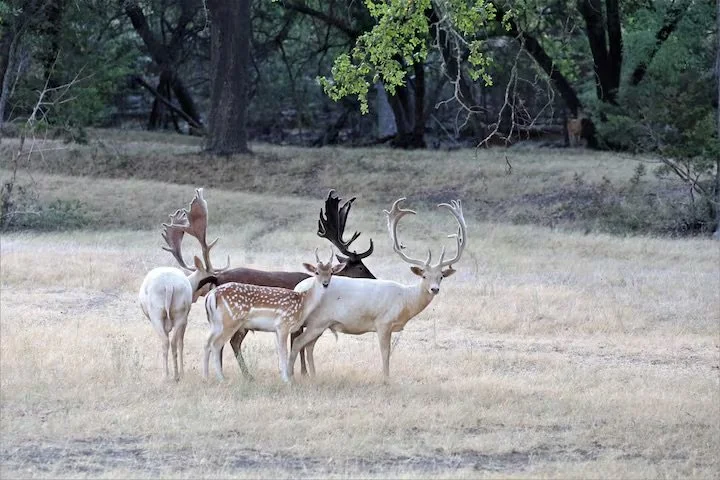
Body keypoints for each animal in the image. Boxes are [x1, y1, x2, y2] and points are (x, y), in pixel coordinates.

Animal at [139, 188, 229, 381]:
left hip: (159, 312)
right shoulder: (186, 315)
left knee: (166, 341)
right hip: (178, 311)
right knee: (173, 341)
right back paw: (175, 374)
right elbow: (181, 342)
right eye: (212, 276)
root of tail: (168, 285)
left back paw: (168, 375)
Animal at [203, 249, 345, 382]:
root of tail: (211, 295)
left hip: (215, 324)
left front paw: (283, 375)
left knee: (207, 343)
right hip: (230, 321)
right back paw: (221, 378)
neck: (303, 303)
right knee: (217, 345)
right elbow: (284, 351)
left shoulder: (276, 329)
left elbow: (279, 351)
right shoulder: (284, 324)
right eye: (316, 272)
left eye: (331, 272)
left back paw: (207, 376)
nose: (325, 283)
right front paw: (287, 379)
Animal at [286, 197, 466, 382]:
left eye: (441, 276)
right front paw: (386, 379)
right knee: (298, 343)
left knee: (308, 346)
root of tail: (298, 289)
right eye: (424, 276)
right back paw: (291, 375)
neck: (405, 301)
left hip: (322, 323)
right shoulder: (383, 323)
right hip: (317, 321)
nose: (434, 289)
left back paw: (313, 376)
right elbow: (386, 353)